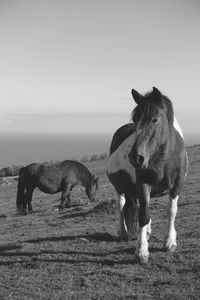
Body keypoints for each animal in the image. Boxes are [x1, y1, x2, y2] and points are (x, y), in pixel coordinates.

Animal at [107, 86, 188, 262]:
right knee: (121, 206)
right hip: (119, 188)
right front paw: (142, 251)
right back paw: (124, 232)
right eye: (135, 119)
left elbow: (171, 210)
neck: (165, 158)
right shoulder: (143, 184)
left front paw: (170, 242)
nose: (135, 157)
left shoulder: (177, 184)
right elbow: (143, 215)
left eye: (155, 119)